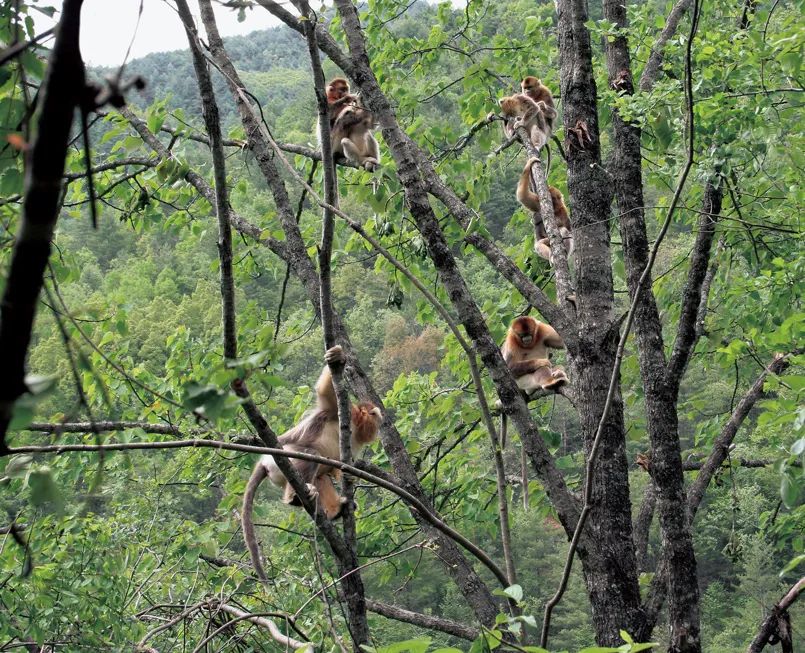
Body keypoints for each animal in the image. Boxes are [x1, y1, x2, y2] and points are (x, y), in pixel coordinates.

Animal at [240, 346, 382, 580]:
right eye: (376, 419)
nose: (379, 429)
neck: (354, 427)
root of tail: (264, 461)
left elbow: (335, 468)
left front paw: (347, 475)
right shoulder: (344, 411)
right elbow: (326, 393)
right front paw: (337, 357)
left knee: (321, 474)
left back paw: (336, 510)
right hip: (283, 457)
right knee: (310, 455)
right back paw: (295, 498)